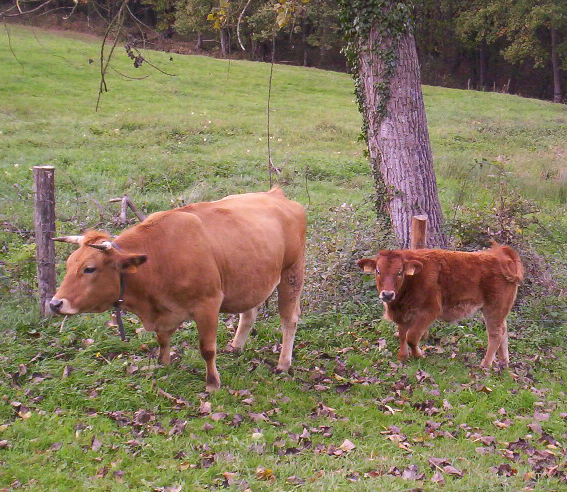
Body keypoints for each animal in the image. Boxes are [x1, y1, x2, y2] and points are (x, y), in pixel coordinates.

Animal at [50, 188, 306, 392]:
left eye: (89, 269)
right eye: (69, 264)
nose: (54, 303)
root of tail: (275, 194)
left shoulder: (208, 304)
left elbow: (207, 349)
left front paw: (212, 383)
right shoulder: (164, 312)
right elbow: (163, 340)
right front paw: (164, 364)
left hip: (292, 273)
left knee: (289, 320)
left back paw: (283, 363)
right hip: (249, 279)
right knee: (249, 313)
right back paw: (235, 348)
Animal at [358, 243, 524, 368]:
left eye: (400, 272)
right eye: (378, 270)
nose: (387, 294)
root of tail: (502, 253)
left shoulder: (429, 311)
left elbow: (411, 336)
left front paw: (419, 355)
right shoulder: (403, 314)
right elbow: (402, 335)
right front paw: (403, 357)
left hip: (494, 308)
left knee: (495, 333)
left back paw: (485, 365)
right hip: (500, 310)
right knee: (504, 330)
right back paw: (503, 362)